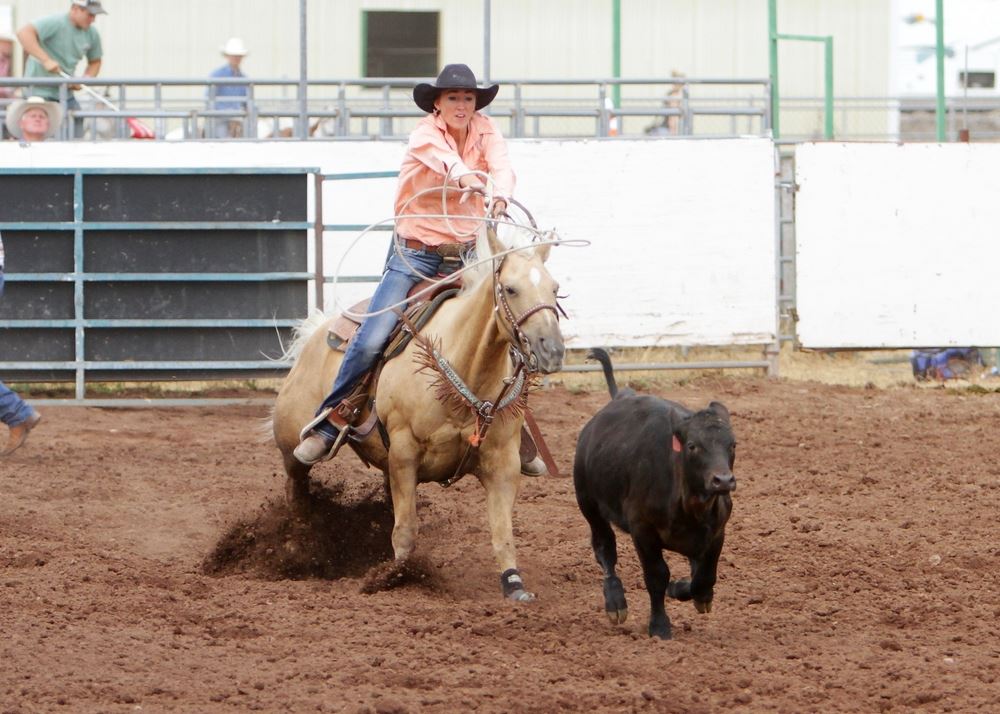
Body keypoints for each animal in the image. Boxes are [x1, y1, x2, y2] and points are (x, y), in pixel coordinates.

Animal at [572, 348, 737, 639]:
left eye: (732, 445)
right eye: (692, 445)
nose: (723, 480)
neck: (688, 505)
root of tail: (621, 397)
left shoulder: (717, 531)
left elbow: (704, 577)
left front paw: (689, 592)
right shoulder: (643, 531)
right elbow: (657, 576)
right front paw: (659, 625)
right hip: (588, 503)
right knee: (604, 548)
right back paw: (615, 602)